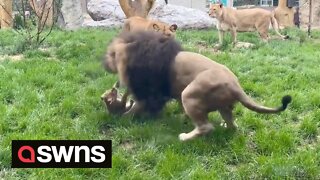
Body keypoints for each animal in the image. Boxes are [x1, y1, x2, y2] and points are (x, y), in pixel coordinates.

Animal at [104, 31, 292, 141]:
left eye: (111, 54)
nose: (104, 64)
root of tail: (236, 86)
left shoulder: (150, 93)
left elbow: (134, 108)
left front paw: (122, 120)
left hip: (189, 94)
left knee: (206, 127)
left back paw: (185, 137)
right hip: (222, 106)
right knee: (232, 125)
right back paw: (224, 127)